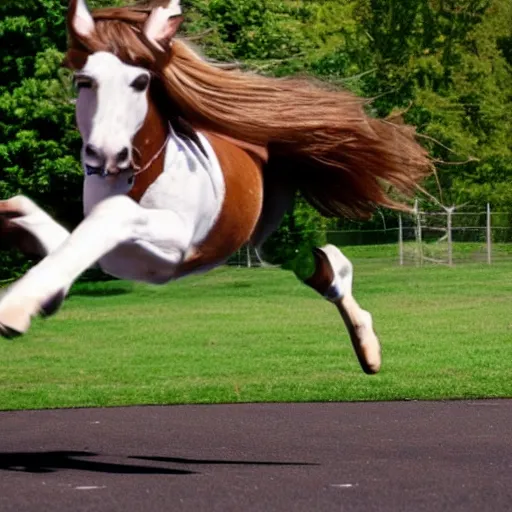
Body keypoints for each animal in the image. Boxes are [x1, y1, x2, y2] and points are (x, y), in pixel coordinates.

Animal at [0, 0, 432, 376]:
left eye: (140, 81)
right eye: (84, 81)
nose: (106, 153)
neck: (138, 177)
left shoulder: (174, 250)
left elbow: (114, 214)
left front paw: (17, 308)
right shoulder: (115, 257)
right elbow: (32, 214)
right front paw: (45, 296)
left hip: (268, 231)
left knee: (328, 264)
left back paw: (368, 349)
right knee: (322, 265)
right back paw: (367, 349)